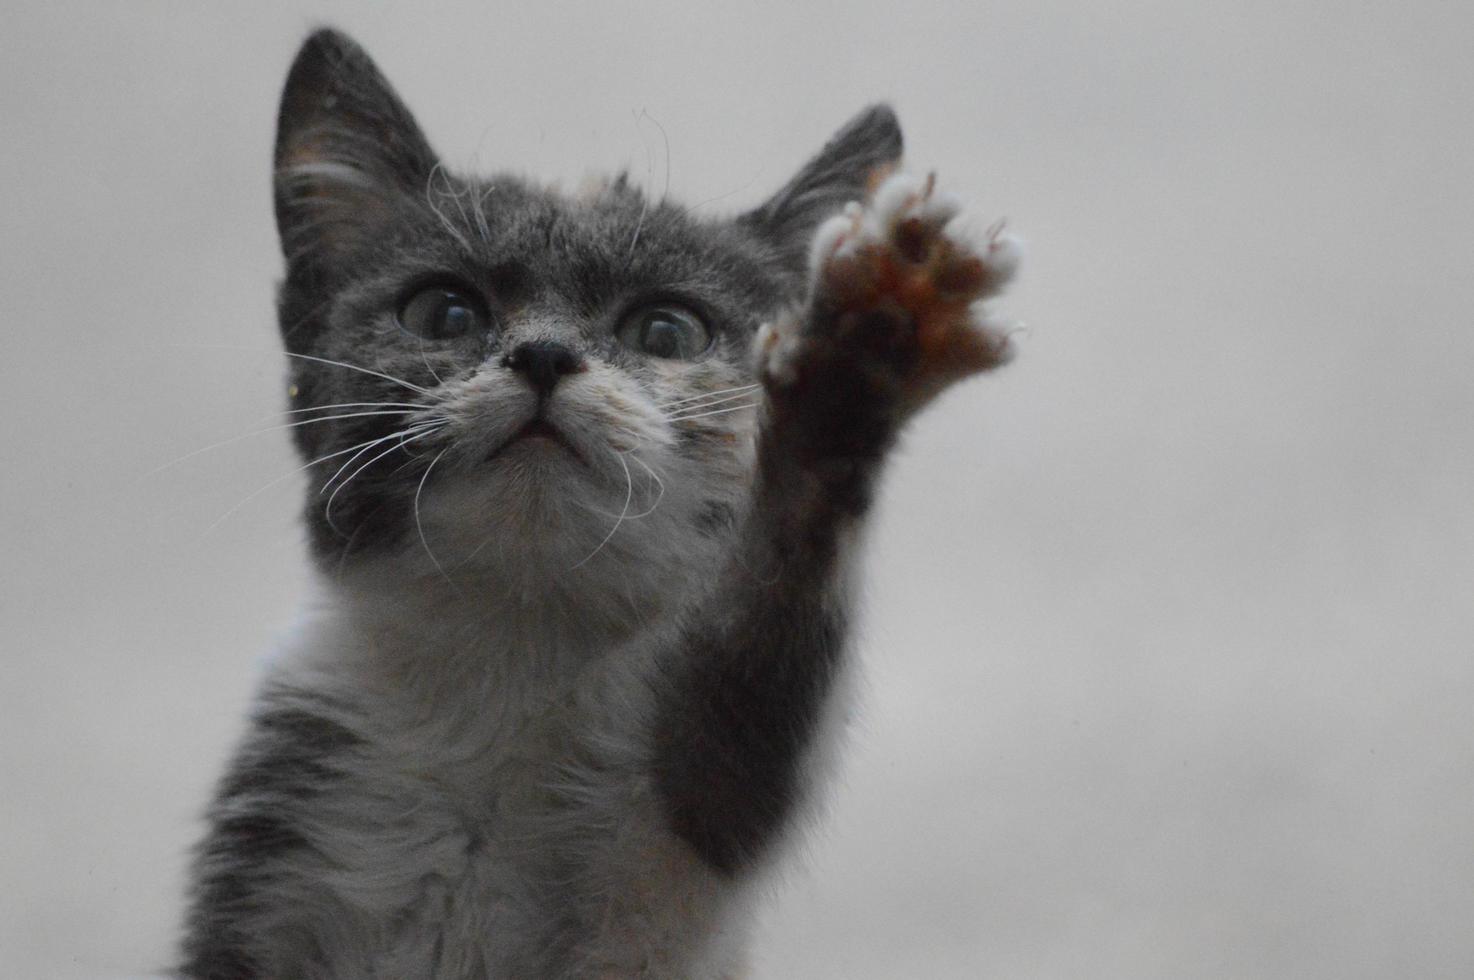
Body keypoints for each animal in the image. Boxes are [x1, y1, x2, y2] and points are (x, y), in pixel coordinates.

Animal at [178, 26, 1020, 972]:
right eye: (444, 313)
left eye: (667, 330)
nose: (544, 355)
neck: (516, 650)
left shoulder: (679, 845)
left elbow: (749, 702)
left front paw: (854, 364)